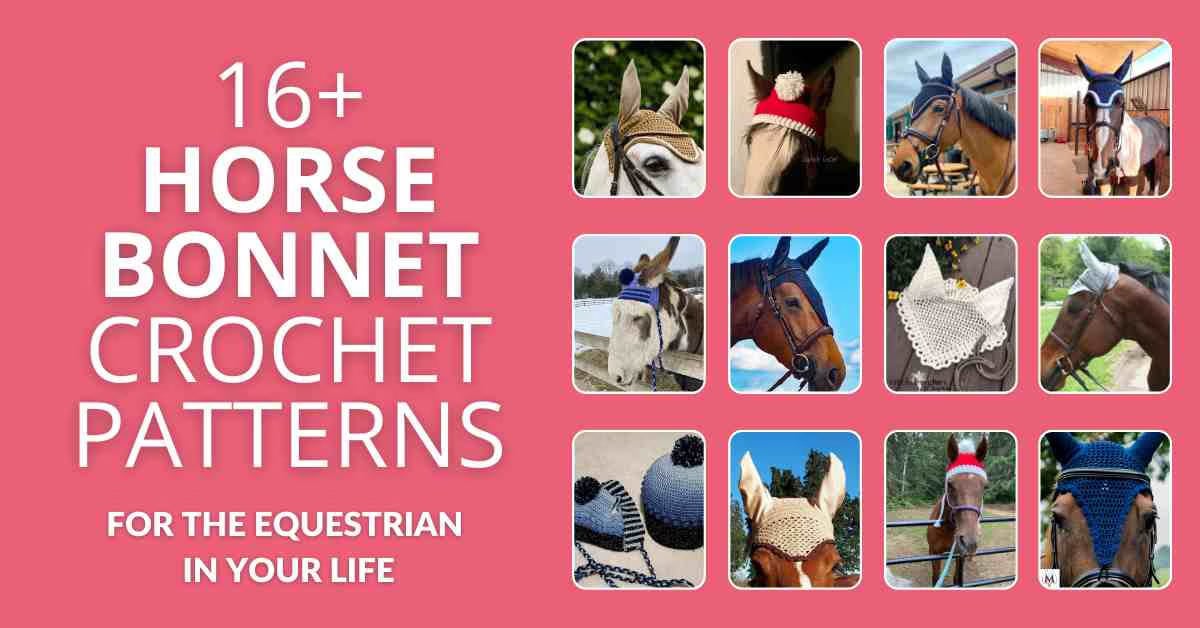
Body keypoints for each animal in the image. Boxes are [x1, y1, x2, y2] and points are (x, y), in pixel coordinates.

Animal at [927, 434, 989, 587]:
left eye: (985, 487)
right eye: (949, 484)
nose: (969, 542)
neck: (947, 529)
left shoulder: (959, 556)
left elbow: (957, 579)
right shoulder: (934, 554)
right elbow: (935, 578)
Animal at [1076, 52, 1171, 196]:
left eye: (1120, 101)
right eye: (1087, 101)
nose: (1101, 164)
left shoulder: (1132, 179)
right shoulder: (1105, 181)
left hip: (1159, 158)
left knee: (1157, 178)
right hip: (1147, 159)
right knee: (1148, 174)